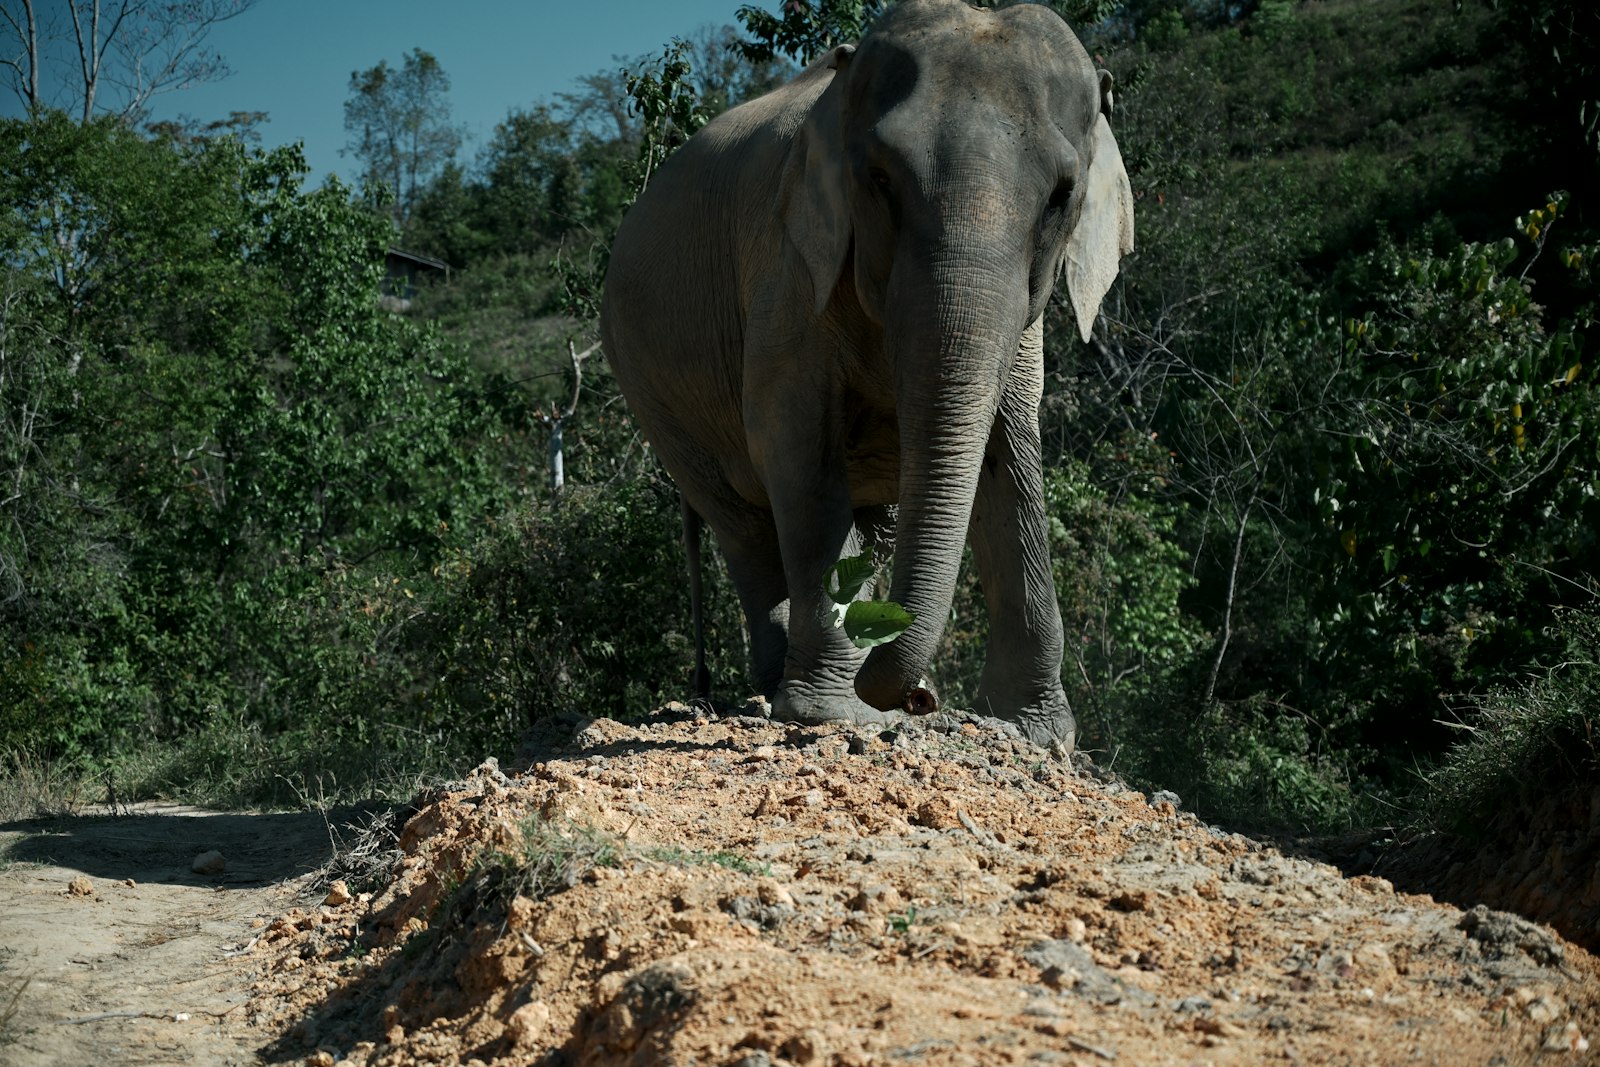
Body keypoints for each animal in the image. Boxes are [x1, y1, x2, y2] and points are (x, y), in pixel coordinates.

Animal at [599, 0, 1134, 749]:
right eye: (880, 181)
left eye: (1061, 197)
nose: (920, 697)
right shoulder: (794, 266)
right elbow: (795, 445)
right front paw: (834, 715)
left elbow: (1009, 452)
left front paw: (1036, 734)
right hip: (651, 388)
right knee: (743, 526)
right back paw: (775, 685)